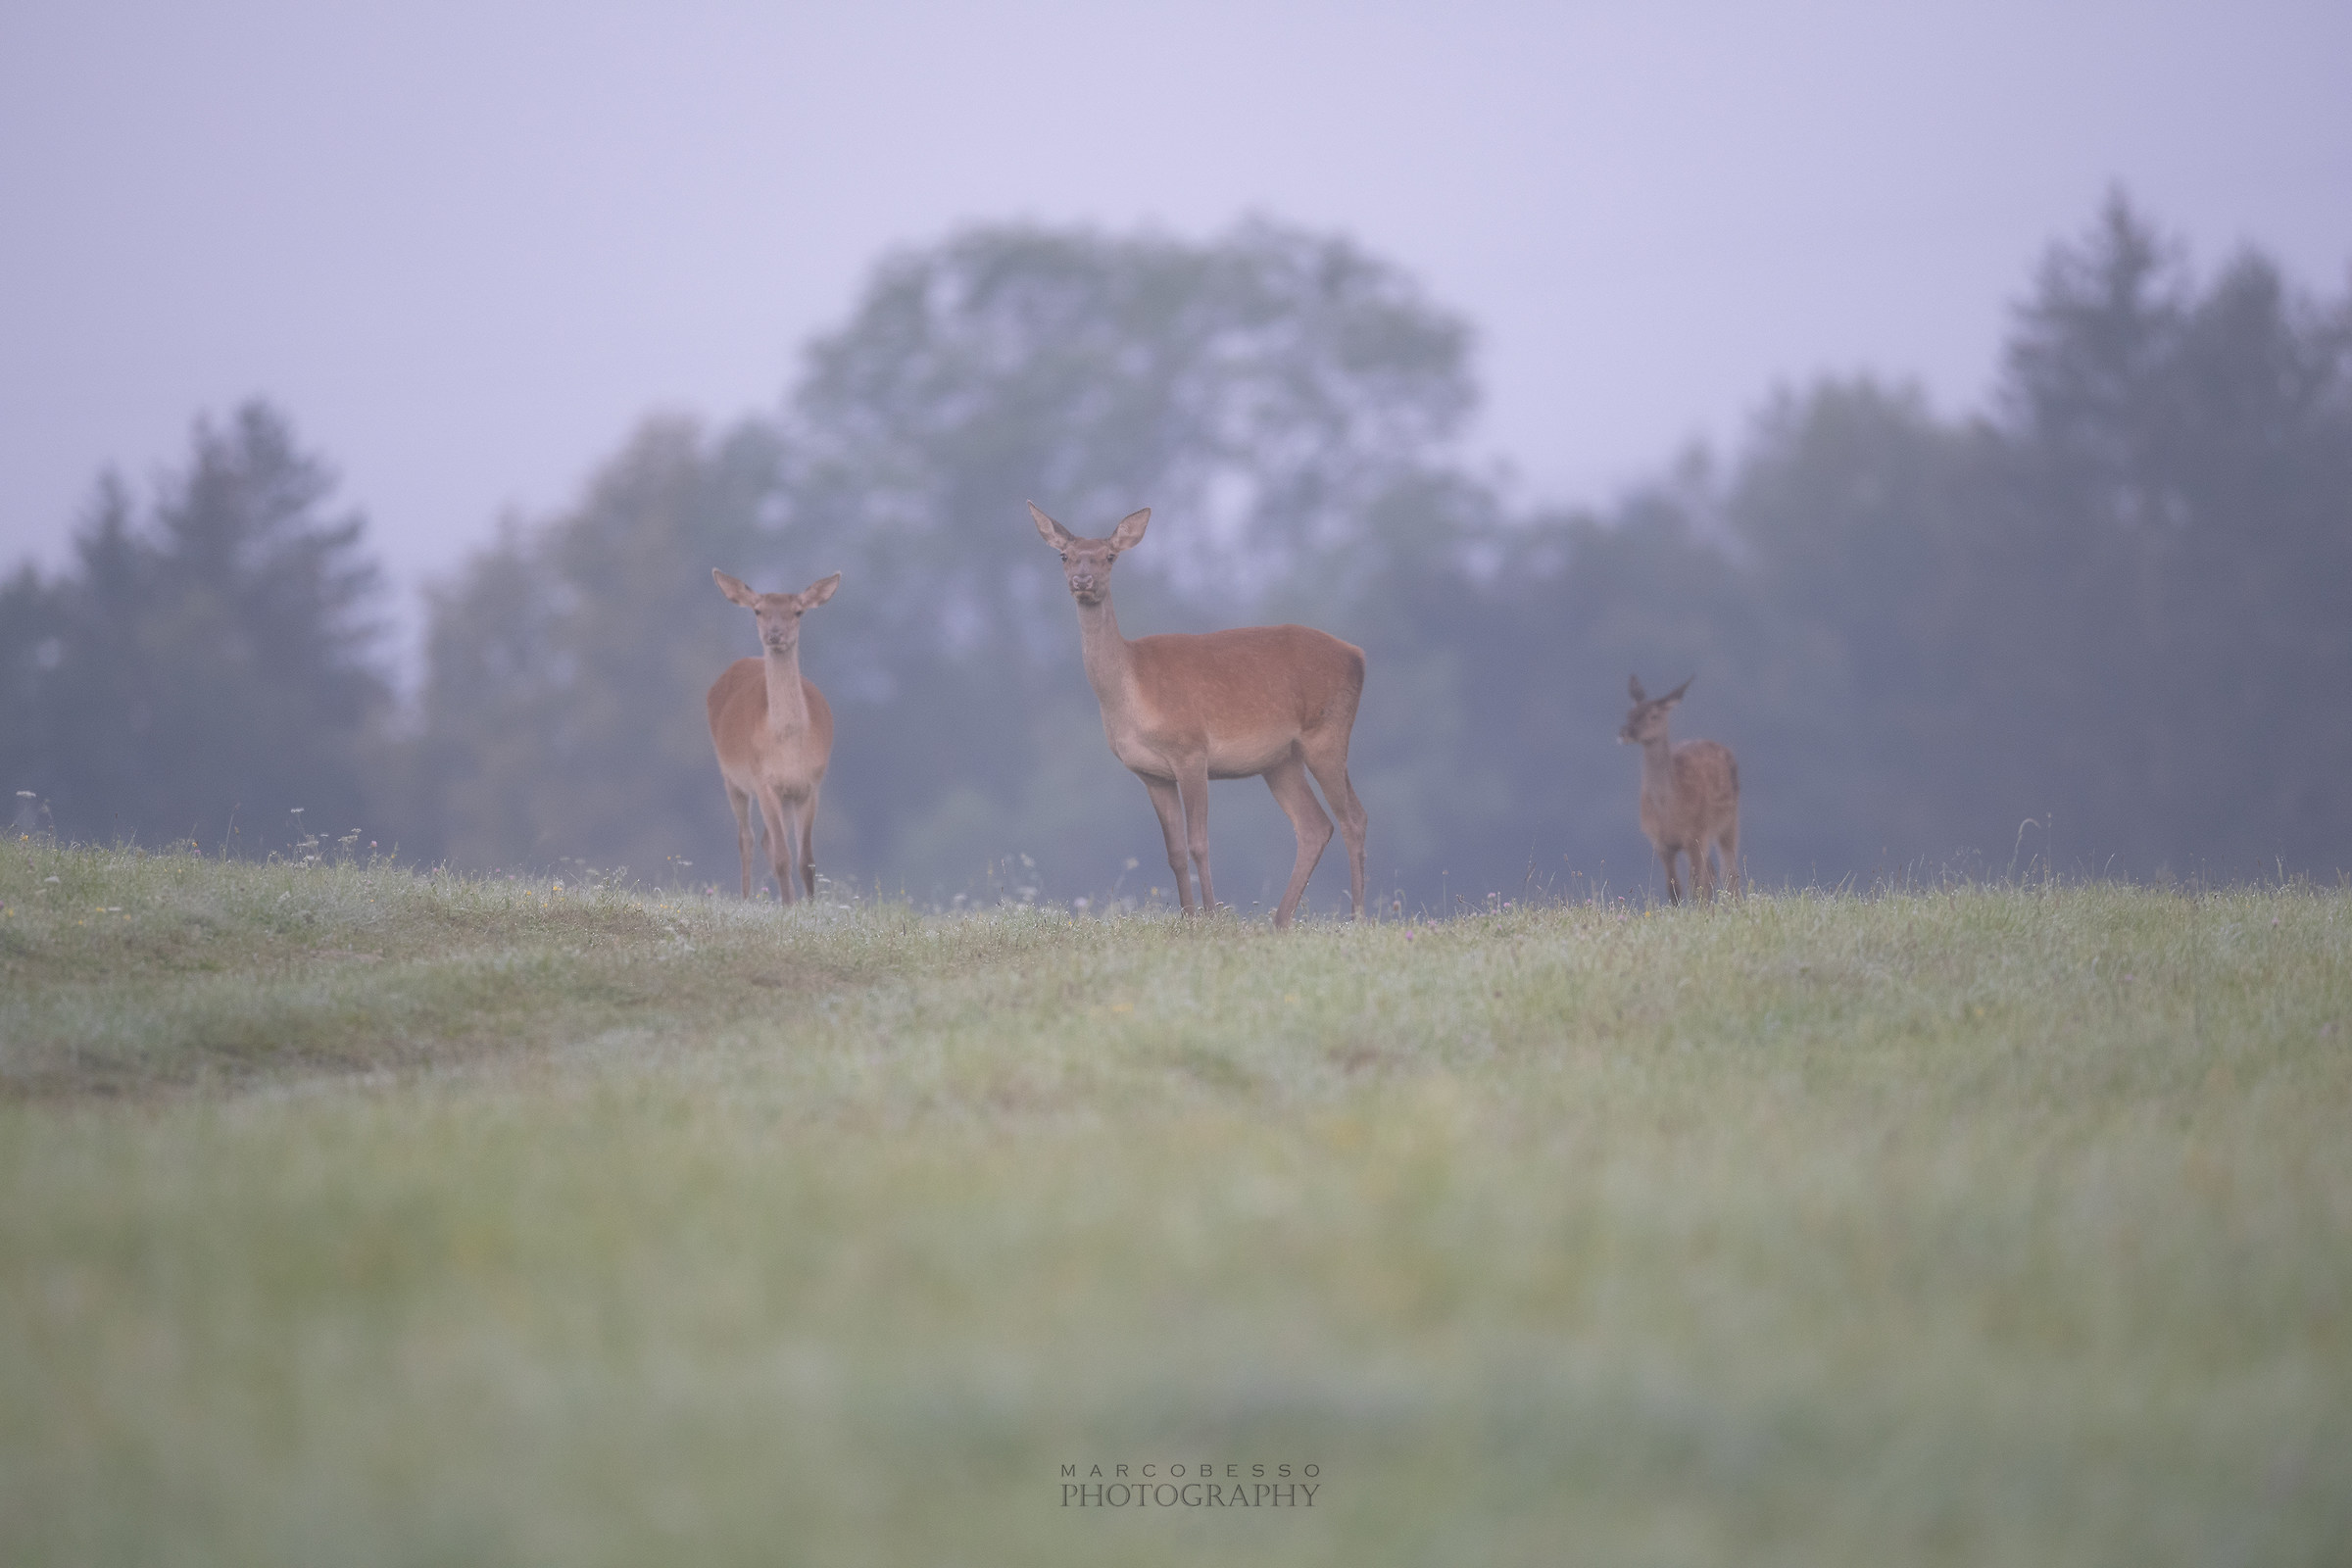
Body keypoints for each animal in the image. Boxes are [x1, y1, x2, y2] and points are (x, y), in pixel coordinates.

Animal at [708, 569, 840, 902]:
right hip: (730, 776)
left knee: (766, 839)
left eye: (798, 611)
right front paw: (790, 907)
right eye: (758, 610)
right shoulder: (763, 779)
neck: (788, 746)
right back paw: (745, 899)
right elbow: (782, 856)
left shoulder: (809, 785)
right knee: (746, 838)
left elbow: (807, 860)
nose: (775, 634)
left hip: (785, 797)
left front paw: (808, 906)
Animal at [1030, 503, 1367, 929]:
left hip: (1327, 733)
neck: (1131, 693)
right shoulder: (1151, 774)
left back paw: (1358, 918)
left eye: (1109, 556)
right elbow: (1175, 851)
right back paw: (1279, 921)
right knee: (1315, 825)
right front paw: (1188, 917)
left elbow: (1199, 843)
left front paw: (1210, 916)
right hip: (1280, 760)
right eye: (1064, 555)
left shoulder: (1191, 751)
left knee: (1353, 817)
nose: (1082, 579)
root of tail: (1358, 656)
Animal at [1619, 675, 1740, 903]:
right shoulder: (1660, 843)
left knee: (1728, 872)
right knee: (1712, 873)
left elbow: (1696, 886)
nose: (1625, 732)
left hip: (1728, 821)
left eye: (1654, 715)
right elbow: (1674, 890)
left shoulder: (1696, 833)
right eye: (1629, 713)